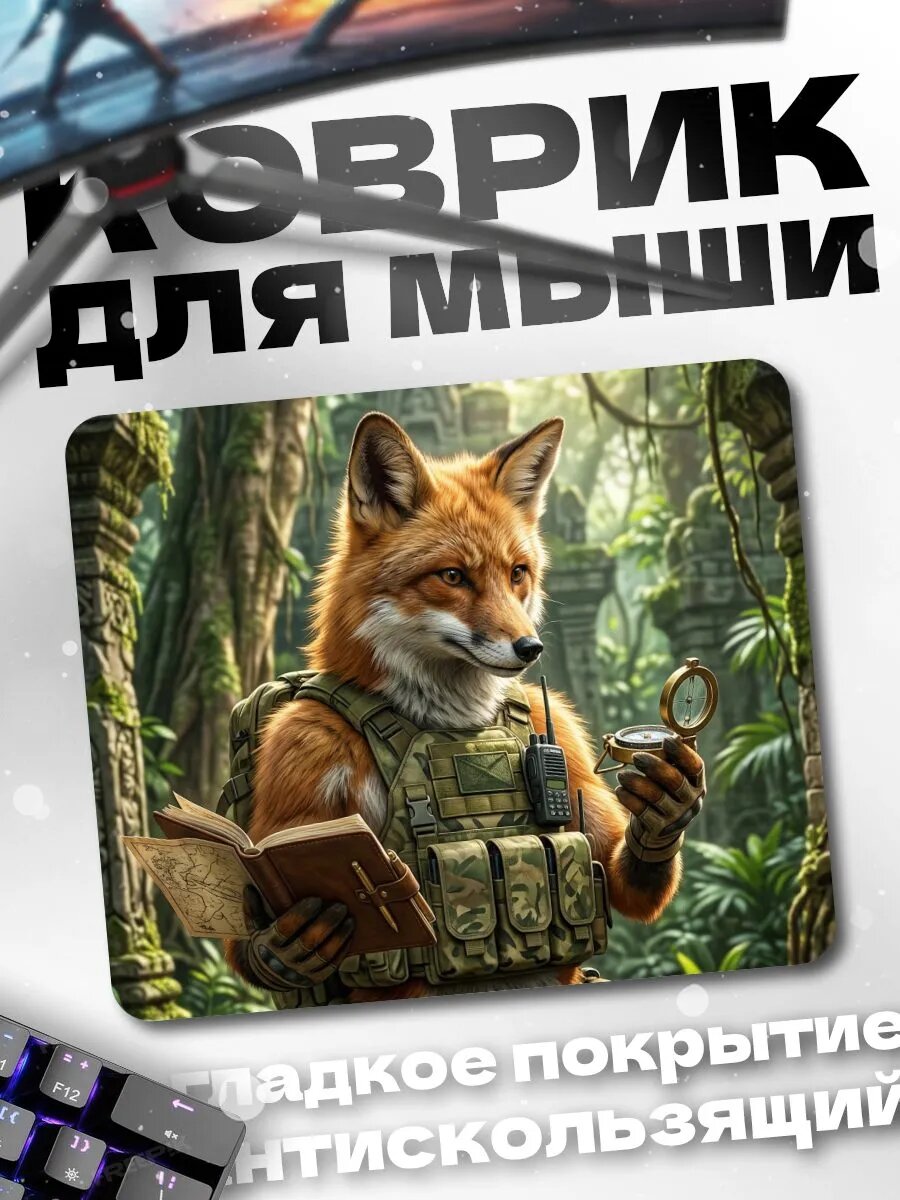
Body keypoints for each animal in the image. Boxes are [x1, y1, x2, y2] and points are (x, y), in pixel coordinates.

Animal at [227, 411, 705, 1002]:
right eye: (453, 576)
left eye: (517, 573)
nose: (531, 648)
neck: (455, 721)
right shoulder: (302, 748)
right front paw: (285, 944)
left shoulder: (562, 738)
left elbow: (622, 879)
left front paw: (666, 806)